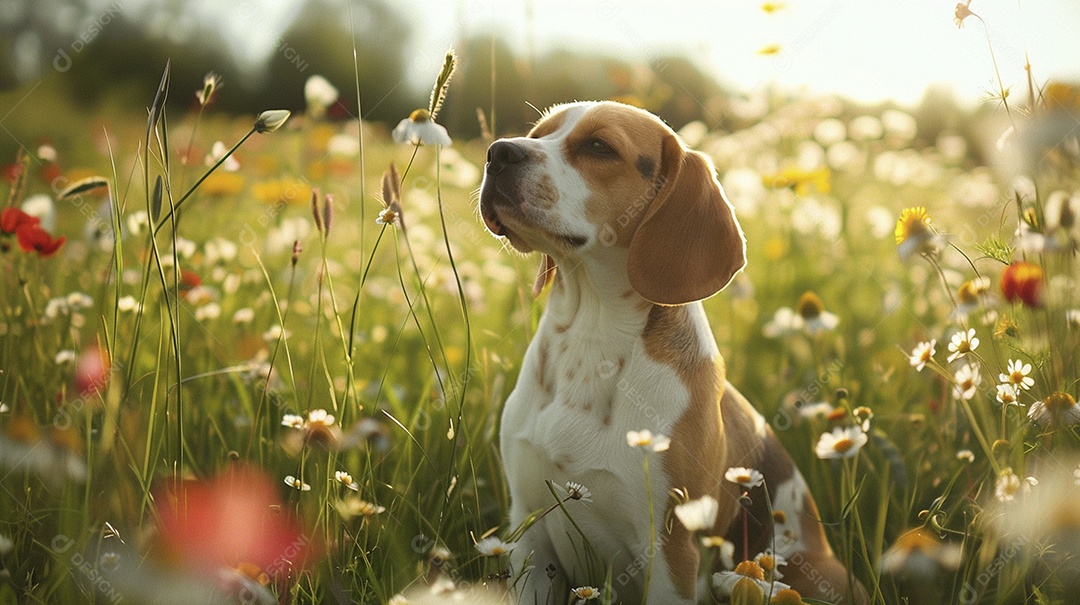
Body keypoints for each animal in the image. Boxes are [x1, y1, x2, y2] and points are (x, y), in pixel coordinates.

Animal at [477, 101, 864, 600]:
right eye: (538, 135)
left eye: (599, 147)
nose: (498, 152)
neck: (590, 335)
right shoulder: (530, 532)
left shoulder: (670, 550)